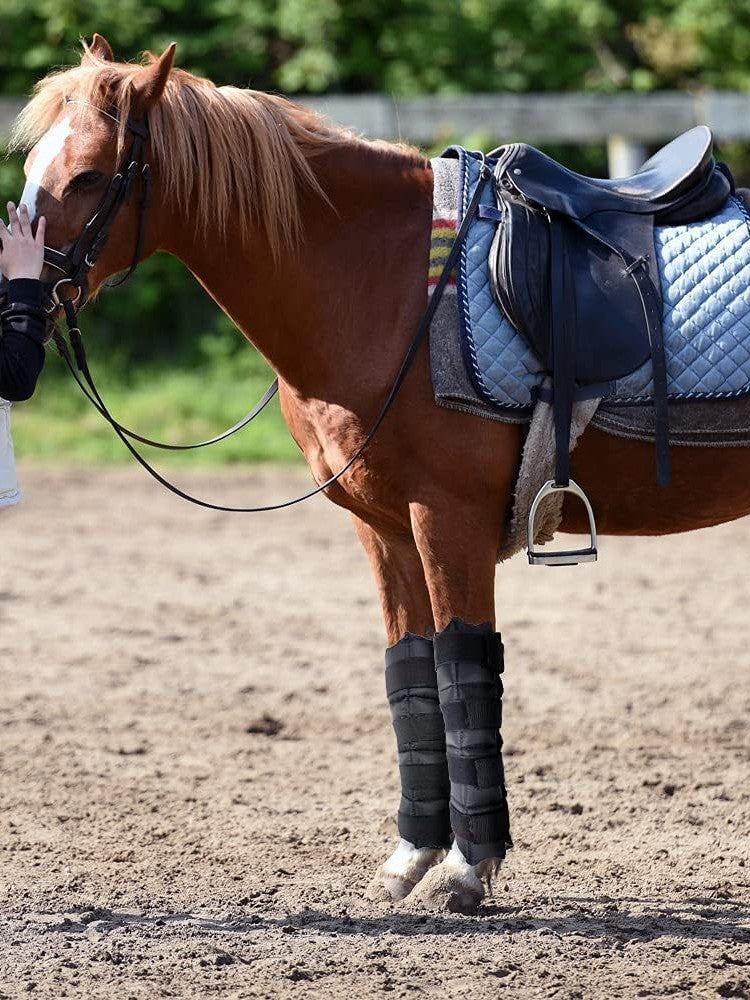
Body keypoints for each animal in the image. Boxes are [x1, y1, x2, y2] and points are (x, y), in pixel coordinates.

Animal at [10, 35, 750, 915]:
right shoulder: (384, 527)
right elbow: (412, 675)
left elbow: (464, 668)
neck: (382, 283)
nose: (15, 291)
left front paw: (467, 868)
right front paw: (411, 857)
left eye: (90, 175)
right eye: (32, 163)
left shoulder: (447, 518)